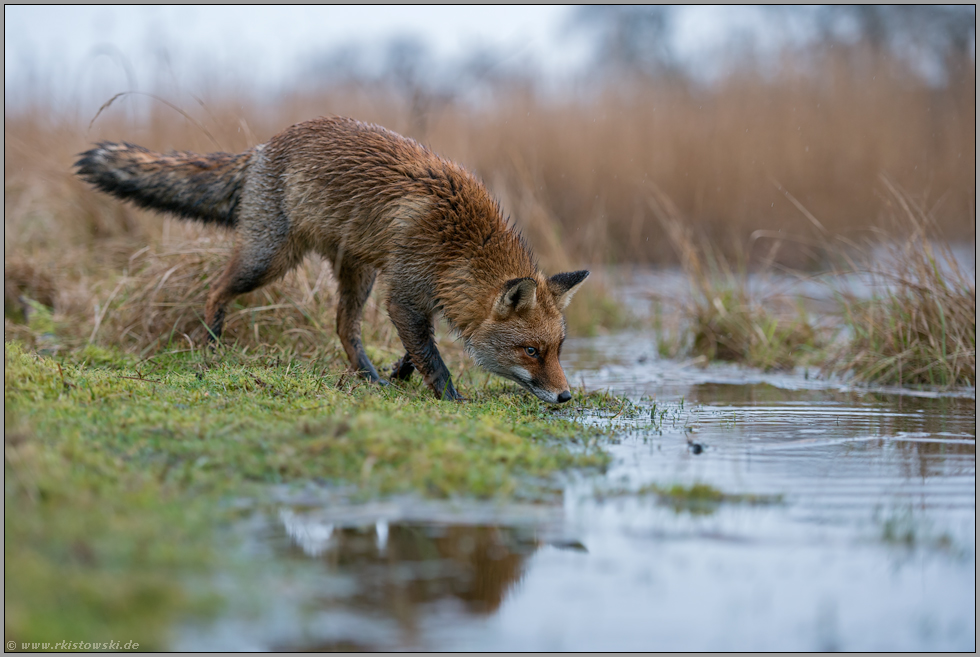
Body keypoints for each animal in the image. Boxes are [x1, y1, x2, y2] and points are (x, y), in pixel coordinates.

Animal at [74, 116, 588, 402]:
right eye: (531, 351)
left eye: (558, 349)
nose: (565, 396)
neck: (458, 244)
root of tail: (261, 149)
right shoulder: (405, 293)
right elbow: (433, 357)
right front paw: (452, 398)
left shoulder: (418, 296)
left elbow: (416, 350)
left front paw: (400, 373)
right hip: (268, 259)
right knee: (216, 289)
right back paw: (211, 344)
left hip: (357, 272)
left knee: (344, 328)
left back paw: (370, 379)